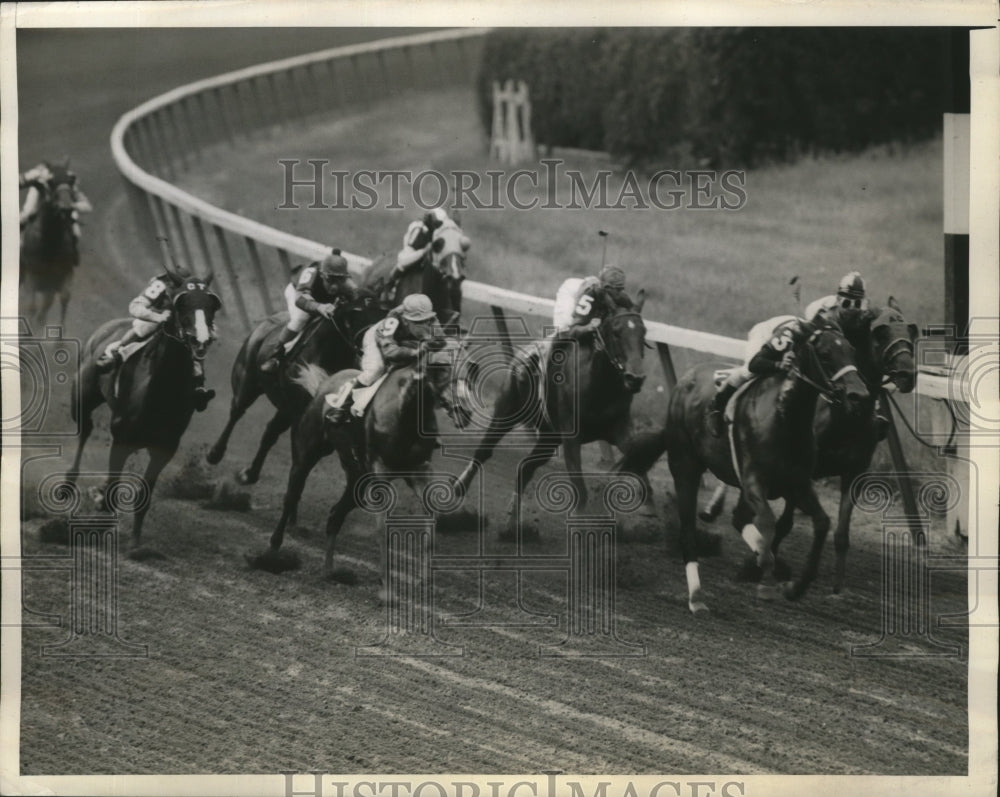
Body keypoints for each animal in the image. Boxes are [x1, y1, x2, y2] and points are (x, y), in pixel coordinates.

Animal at [20, 166, 80, 332]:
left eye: (70, 182)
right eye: (51, 184)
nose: (66, 208)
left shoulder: (63, 274)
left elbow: (63, 297)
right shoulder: (32, 276)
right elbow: (31, 306)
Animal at [67, 276, 222, 552]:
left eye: (212, 305)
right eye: (181, 303)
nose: (201, 340)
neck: (160, 390)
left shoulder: (165, 447)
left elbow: (144, 494)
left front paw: (135, 542)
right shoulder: (121, 438)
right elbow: (113, 488)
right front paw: (103, 515)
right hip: (81, 396)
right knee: (84, 430)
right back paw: (69, 482)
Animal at [262, 338, 472, 580]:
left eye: (470, 368)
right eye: (442, 366)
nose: (464, 411)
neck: (406, 412)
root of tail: (324, 384)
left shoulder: (420, 470)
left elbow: (431, 519)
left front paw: (425, 577)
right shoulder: (381, 471)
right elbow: (383, 527)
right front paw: (385, 578)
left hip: (357, 480)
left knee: (335, 515)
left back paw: (329, 569)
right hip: (306, 455)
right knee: (292, 496)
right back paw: (274, 548)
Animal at [454, 292, 648, 536]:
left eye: (643, 332)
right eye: (616, 331)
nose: (636, 378)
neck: (599, 385)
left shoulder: (618, 429)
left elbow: (638, 455)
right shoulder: (571, 437)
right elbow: (580, 490)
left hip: (548, 438)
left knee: (525, 468)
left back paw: (512, 525)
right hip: (507, 412)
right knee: (483, 451)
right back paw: (459, 489)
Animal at [616, 320, 868, 612]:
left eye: (852, 352)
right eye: (826, 354)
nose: (859, 395)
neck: (785, 416)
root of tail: (686, 378)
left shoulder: (797, 483)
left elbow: (821, 523)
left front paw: (796, 586)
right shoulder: (754, 482)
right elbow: (768, 523)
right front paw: (766, 576)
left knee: (738, 519)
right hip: (685, 467)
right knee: (688, 532)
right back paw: (696, 597)